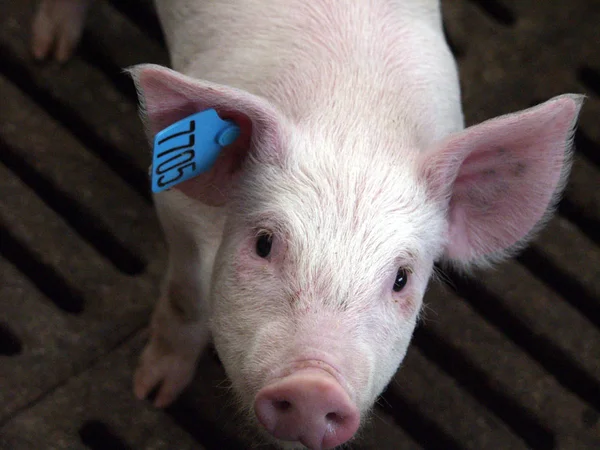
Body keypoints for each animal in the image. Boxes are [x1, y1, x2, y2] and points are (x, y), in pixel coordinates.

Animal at [31, 0, 580, 450]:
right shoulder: (176, 211)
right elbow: (186, 299)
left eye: (401, 279)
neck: (354, 124)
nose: (313, 388)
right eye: (264, 244)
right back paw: (49, 53)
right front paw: (152, 393)